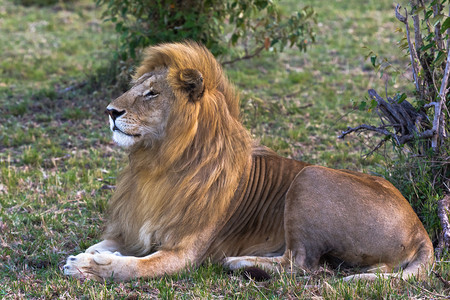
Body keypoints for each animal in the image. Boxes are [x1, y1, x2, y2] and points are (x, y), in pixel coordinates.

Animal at [62, 40, 432, 282]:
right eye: (135, 87)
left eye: (152, 93)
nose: (110, 111)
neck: (158, 163)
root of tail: (419, 228)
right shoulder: (135, 230)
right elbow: (101, 244)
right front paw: (92, 254)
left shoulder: (183, 253)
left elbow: (133, 266)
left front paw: (89, 267)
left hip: (310, 177)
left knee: (300, 264)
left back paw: (238, 263)